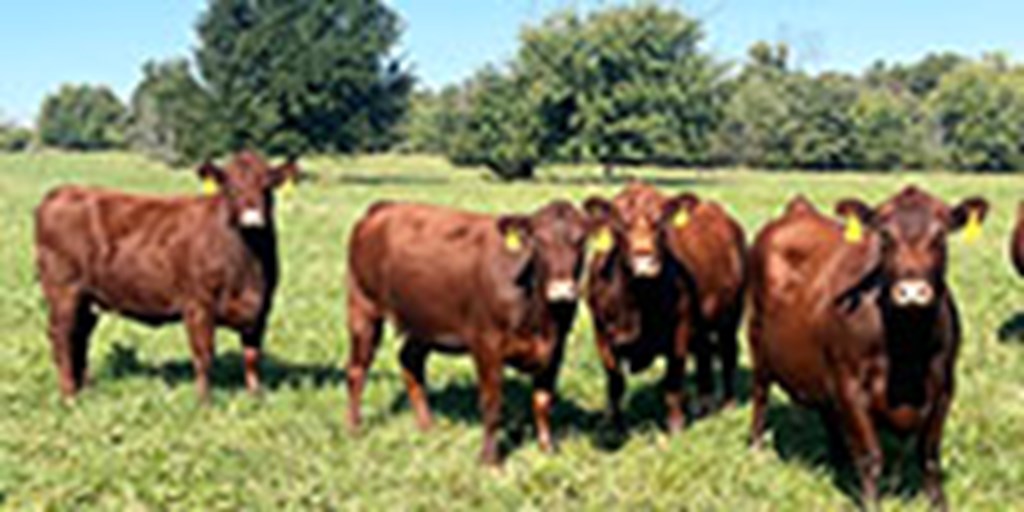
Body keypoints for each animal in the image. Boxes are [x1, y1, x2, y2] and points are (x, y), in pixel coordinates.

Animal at [33, 151, 296, 399]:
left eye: (267, 185)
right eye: (229, 187)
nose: (252, 218)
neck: (247, 269)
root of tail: (64, 191)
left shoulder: (261, 307)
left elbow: (252, 356)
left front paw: (256, 396)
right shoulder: (198, 305)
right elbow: (204, 355)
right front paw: (205, 402)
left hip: (88, 298)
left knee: (80, 336)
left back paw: (85, 389)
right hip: (63, 291)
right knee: (62, 336)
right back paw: (69, 396)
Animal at [344, 199, 589, 464]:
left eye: (581, 239)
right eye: (537, 240)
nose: (561, 290)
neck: (540, 319)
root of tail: (384, 206)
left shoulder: (556, 346)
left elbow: (542, 401)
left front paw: (547, 449)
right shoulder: (486, 345)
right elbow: (492, 403)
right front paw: (489, 459)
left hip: (425, 321)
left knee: (410, 360)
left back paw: (427, 425)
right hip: (363, 305)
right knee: (357, 369)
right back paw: (354, 427)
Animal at [589, 182, 724, 430]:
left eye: (661, 221)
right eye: (619, 223)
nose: (644, 259)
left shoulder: (681, 329)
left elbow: (674, 377)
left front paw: (675, 423)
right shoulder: (601, 332)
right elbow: (615, 381)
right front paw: (613, 423)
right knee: (705, 356)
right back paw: (703, 404)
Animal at [749, 187, 987, 507]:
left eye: (940, 236)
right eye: (885, 236)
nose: (912, 290)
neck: (907, 346)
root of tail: (798, 211)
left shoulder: (945, 387)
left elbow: (929, 456)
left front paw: (939, 502)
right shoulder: (850, 385)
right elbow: (871, 457)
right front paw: (871, 503)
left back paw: (838, 460)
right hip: (758, 341)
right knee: (760, 396)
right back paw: (756, 446)